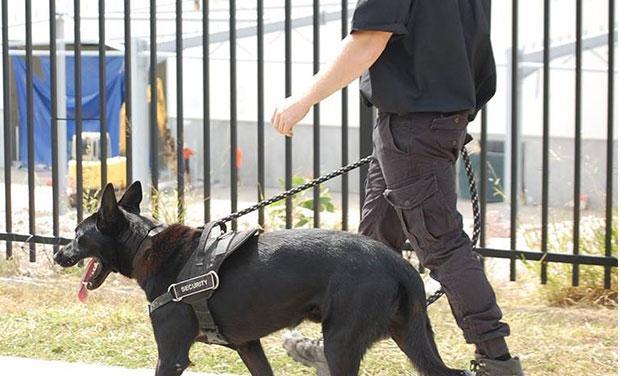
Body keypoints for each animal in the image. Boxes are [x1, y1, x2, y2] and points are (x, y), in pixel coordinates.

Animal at [55, 182, 462, 376]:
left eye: (77, 235)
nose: (58, 255)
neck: (146, 244)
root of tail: (398, 264)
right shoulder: (249, 346)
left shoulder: (171, 356)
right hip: (411, 337)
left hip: (342, 342)